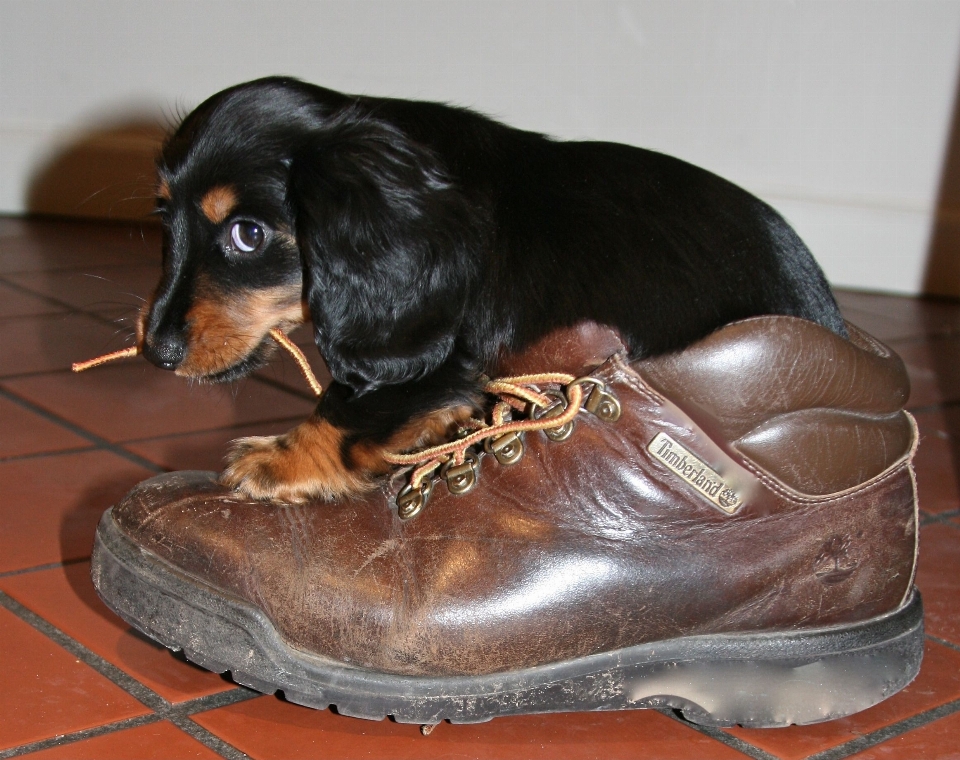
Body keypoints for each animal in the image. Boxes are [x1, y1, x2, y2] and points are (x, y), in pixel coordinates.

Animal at [142, 77, 848, 504]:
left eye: (248, 234)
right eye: (163, 218)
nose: (156, 354)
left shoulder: (442, 355)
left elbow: (348, 407)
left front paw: (274, 458)